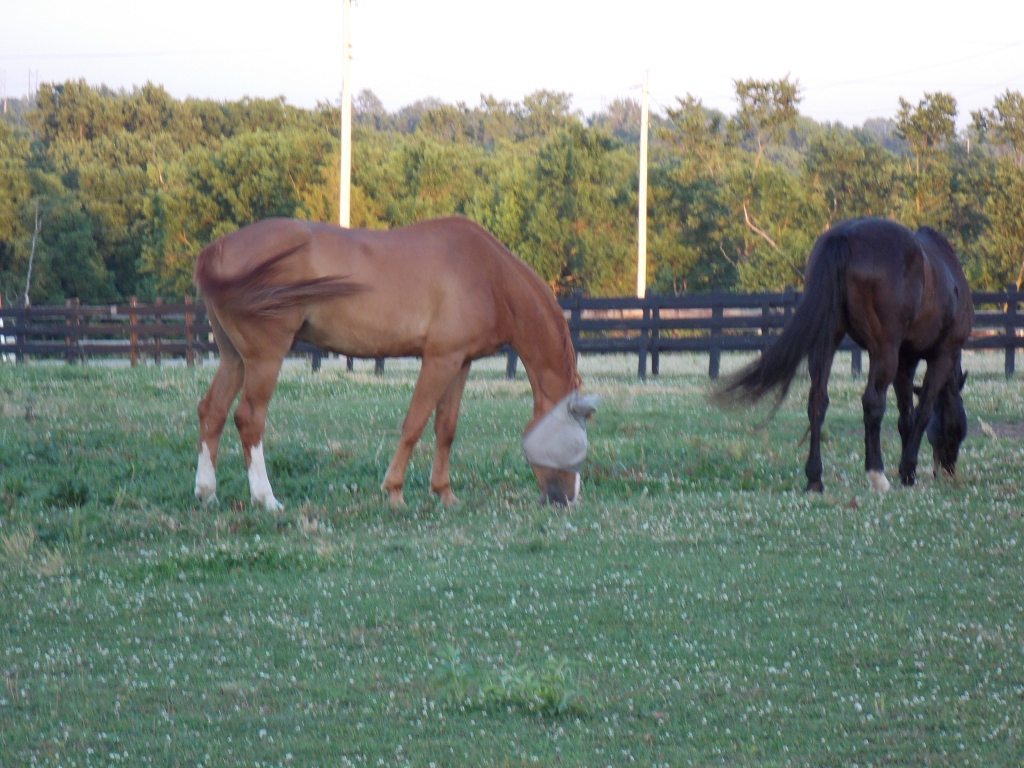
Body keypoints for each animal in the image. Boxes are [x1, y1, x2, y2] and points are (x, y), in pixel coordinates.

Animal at [192, 216, 598, 510]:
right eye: (576, 446)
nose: (569, 500)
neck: (490, 274)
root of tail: (217, 249)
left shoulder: (459, 362)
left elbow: (445, 428)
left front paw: (444, 493)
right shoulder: (439, 360)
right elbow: (414, 424)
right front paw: (394, 492)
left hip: (234, 359)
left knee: (212, 411)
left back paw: (207, 492)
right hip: (265, 359)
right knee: (249, 418)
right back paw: (266, 498)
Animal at [717, 217, 974, 492]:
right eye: (957, 430)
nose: (947, 470)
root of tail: (844, 236)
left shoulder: (905, 361)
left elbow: (906, 414)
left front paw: (908, 473)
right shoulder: (941, 355)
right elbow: (923, 411)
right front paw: (907, 469)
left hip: (827, 340)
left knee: (817, 401)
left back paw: (815, 478)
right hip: (883, 350)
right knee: (872, 402)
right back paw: (876, 474)